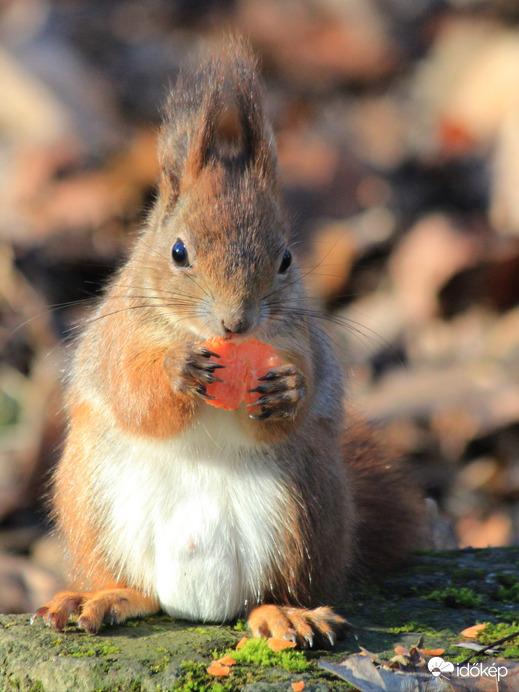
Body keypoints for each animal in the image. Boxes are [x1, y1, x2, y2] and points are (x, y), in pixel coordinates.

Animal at [32, 40, 422, 648]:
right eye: (177, 252)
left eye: (285, 259)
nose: (236, 323)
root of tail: (199, 606)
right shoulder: (118, 341)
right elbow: (135, 394)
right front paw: (176, 371)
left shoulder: (302, 342)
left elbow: (299, 394)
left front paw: (288, 390)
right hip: (91, 505)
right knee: (130, 585)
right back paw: (101, 597)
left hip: (302, 513)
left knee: (276, 589)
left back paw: (287, 613)